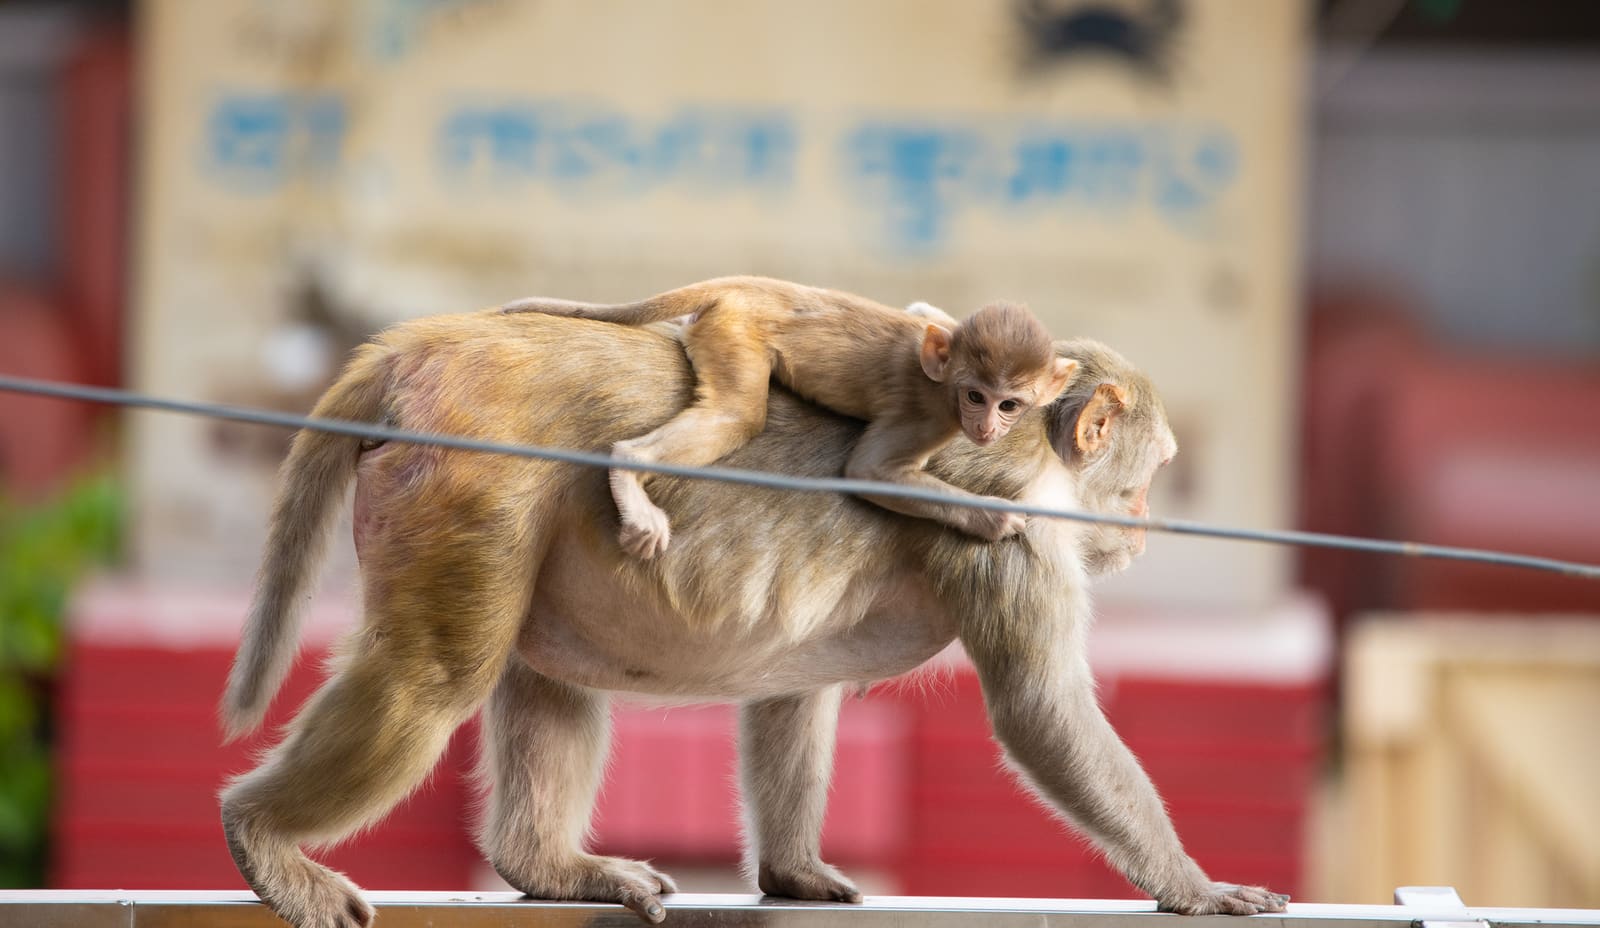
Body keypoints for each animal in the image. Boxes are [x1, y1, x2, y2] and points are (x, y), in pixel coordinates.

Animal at [218, 307, 1287, 928]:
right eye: (1147, 473)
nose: (1142, 524)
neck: (1040, 450)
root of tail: (426, 346)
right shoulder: (1013, 524)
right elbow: (1041, 711)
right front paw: (1192, 886)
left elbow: (794, 694)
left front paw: (795, 871)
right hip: (473, 479)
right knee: (433, 678)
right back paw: (263, 837)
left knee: (544, 675)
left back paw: (549, 866)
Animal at [499, 276, 1077, 559]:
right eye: (977, 396)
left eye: (1010, 404)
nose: (989, 427)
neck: (944, 380)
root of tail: (742, 285)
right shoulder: (930, 416)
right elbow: (867, 472)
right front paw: (993, 516)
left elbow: (923, 311)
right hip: (735, 331)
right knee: (737, 415)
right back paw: (629, 468)